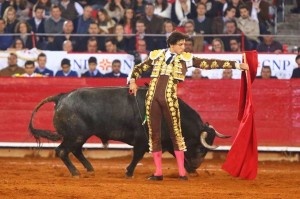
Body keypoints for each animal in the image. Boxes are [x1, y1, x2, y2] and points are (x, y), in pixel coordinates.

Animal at [29, 86, 229, 176]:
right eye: (201, 149)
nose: (194, 168)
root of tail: (61, 97)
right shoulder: (142, 140)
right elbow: (138, 155)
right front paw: (129, 171)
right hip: (75, 135)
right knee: (62, 151)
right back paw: (76, 172)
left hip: (81, 135)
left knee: (75, 151)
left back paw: (90, 168)